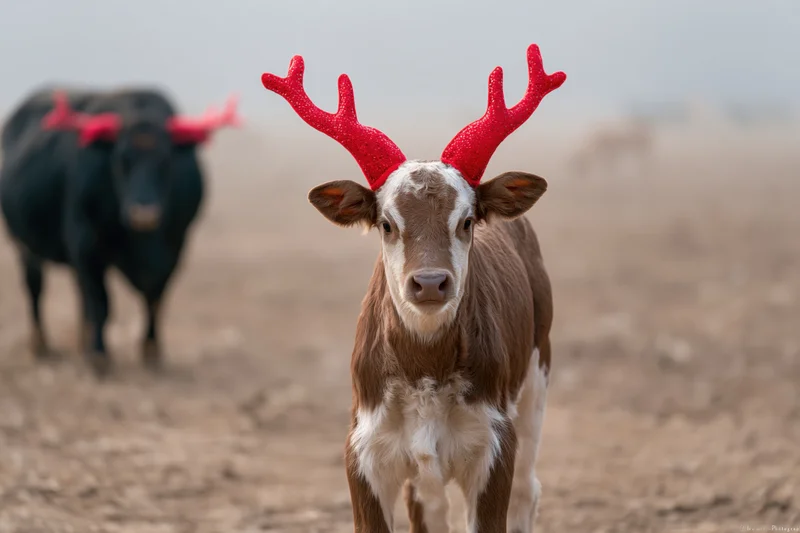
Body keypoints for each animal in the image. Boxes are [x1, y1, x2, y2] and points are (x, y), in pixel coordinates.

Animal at [0, 87, 239, 376]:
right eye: (122, 160)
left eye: (165, 160)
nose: (144, 213)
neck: (143, 242)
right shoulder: (86, 245)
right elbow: (102, 304)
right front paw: (99, 356)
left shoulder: (176, 248)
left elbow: (155, 299)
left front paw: (151, 351)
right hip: (24, 246)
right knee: (36, 287)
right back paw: (42, 345)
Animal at [262, 43, 565, 533]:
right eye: (387, 223)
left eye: (466, 220)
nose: (429, 282)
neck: (425, 369)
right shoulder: (365, 449)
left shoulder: (494, 443)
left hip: (539, 369)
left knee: (527, 490)